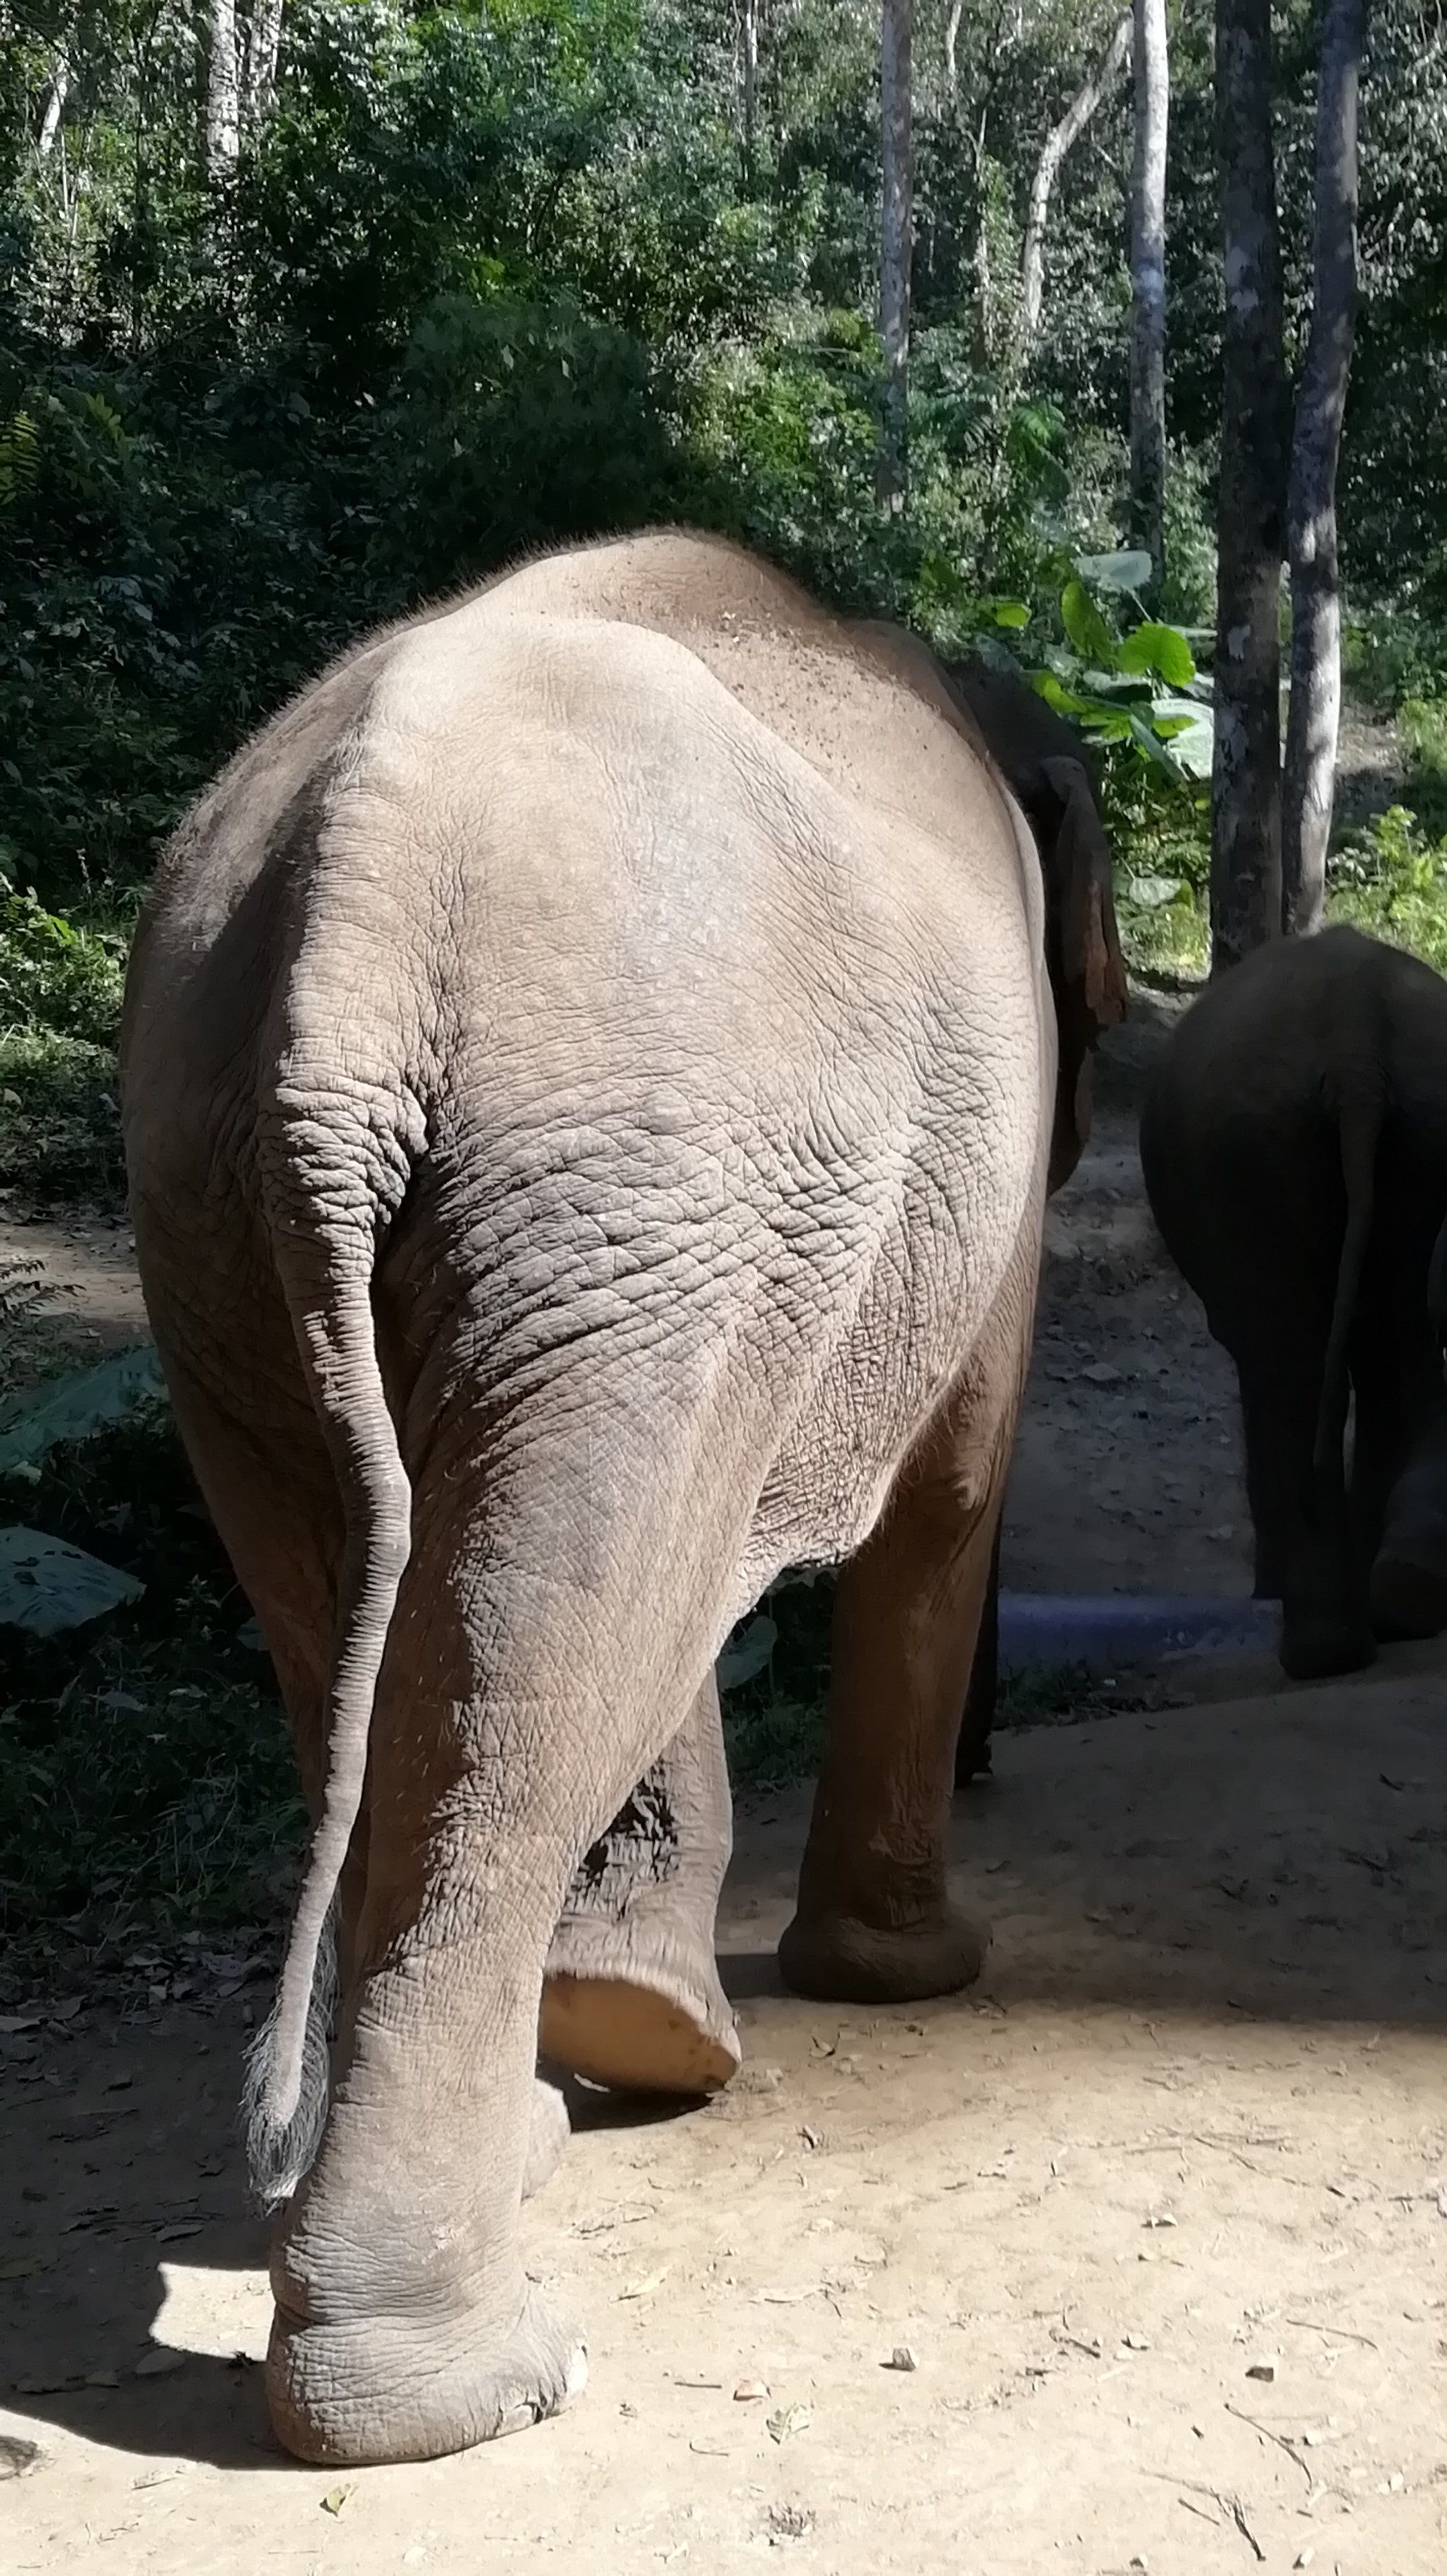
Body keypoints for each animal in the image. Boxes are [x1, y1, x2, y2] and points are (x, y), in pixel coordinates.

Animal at [120, 528, 1125, 2468]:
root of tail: (356, 905)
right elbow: (948, 1489)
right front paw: (913, 1976)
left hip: (271, 1202)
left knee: (417, 1613)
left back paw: (560, 2105)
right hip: (631, 1176)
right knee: (554, 1641)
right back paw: (466, 2385)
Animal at [1140, 922, 1447, 1682]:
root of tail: (1354, 1039)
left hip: (1250, 1146)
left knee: (1288, 1359)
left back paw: (1324, 1650)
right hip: (1411, 1125)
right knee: (1394, 1340)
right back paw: (1387, 1614)